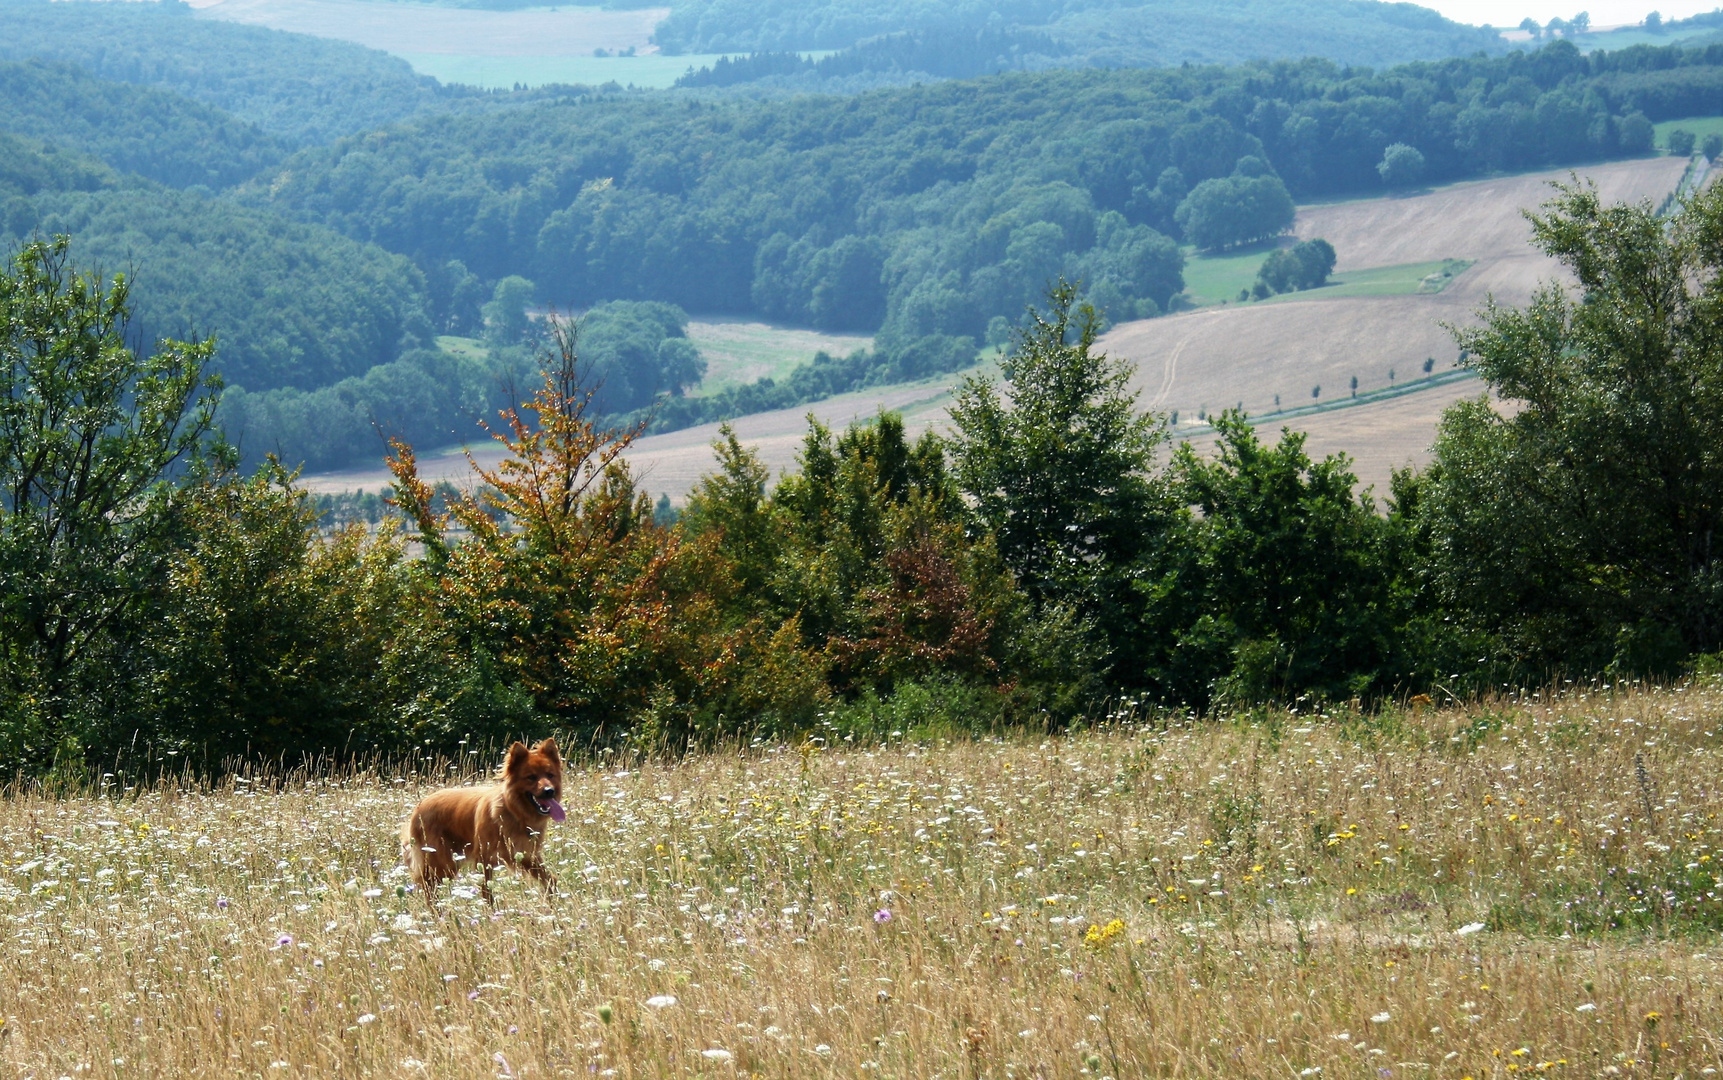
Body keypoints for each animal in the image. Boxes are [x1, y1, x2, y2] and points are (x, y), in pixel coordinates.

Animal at [399, 733, 568, 902]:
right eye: (531, 777)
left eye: (550, 775)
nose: (549, 791)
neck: (514, 813)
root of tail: (418, 807)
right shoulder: (484, 860)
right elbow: (487, 892)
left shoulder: (528, 856)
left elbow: (551, 879)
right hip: (442, 862)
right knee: (429, 888)